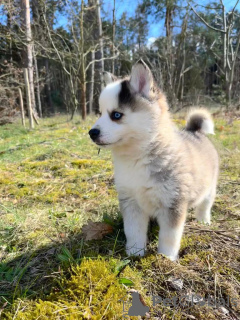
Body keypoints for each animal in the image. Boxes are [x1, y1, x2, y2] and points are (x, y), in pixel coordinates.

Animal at [88, 59, 219, 260]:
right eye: (100, 113)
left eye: (116, 115)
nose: (92, 132)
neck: (137, 158)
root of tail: (194, 130)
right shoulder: (131, 202)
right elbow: (133, 231)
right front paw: (134, 253)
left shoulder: (173, 204)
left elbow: (169, 237)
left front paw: (166, 258)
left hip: (209, 188)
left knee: (205, 205)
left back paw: (203, 221)